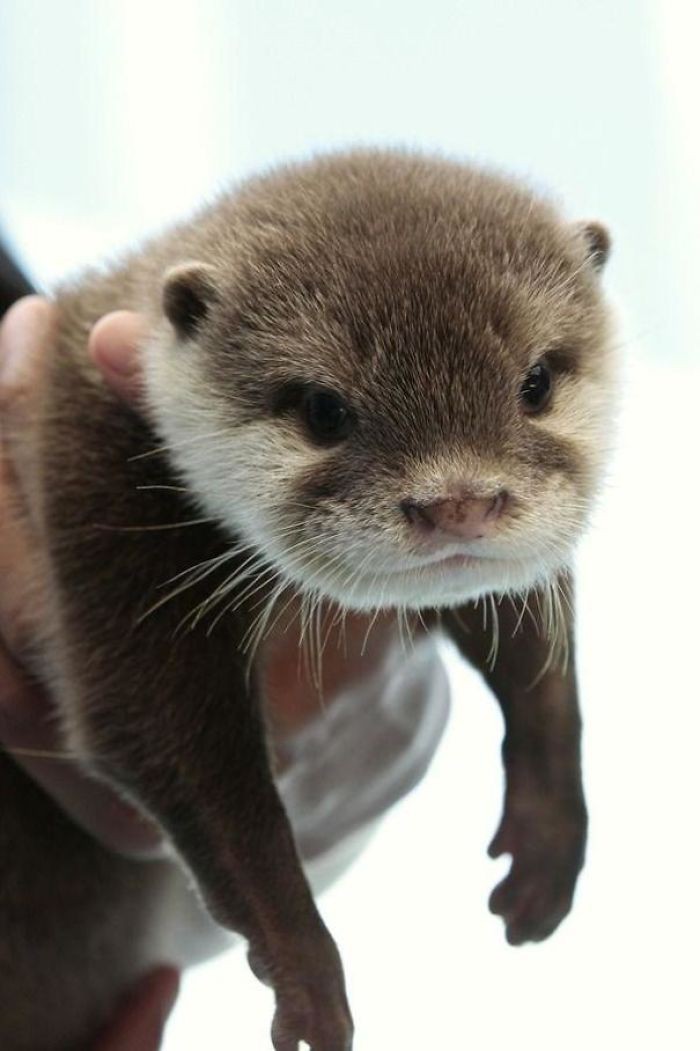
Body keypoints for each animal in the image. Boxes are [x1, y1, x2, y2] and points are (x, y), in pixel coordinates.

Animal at [0, 149, 617, 1051]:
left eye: (534, 381)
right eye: (324, 408)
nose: (460, 503)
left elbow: (542, 672)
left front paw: (547, 839)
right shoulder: (98, 468)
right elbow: (165, 739)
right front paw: (306, 972)